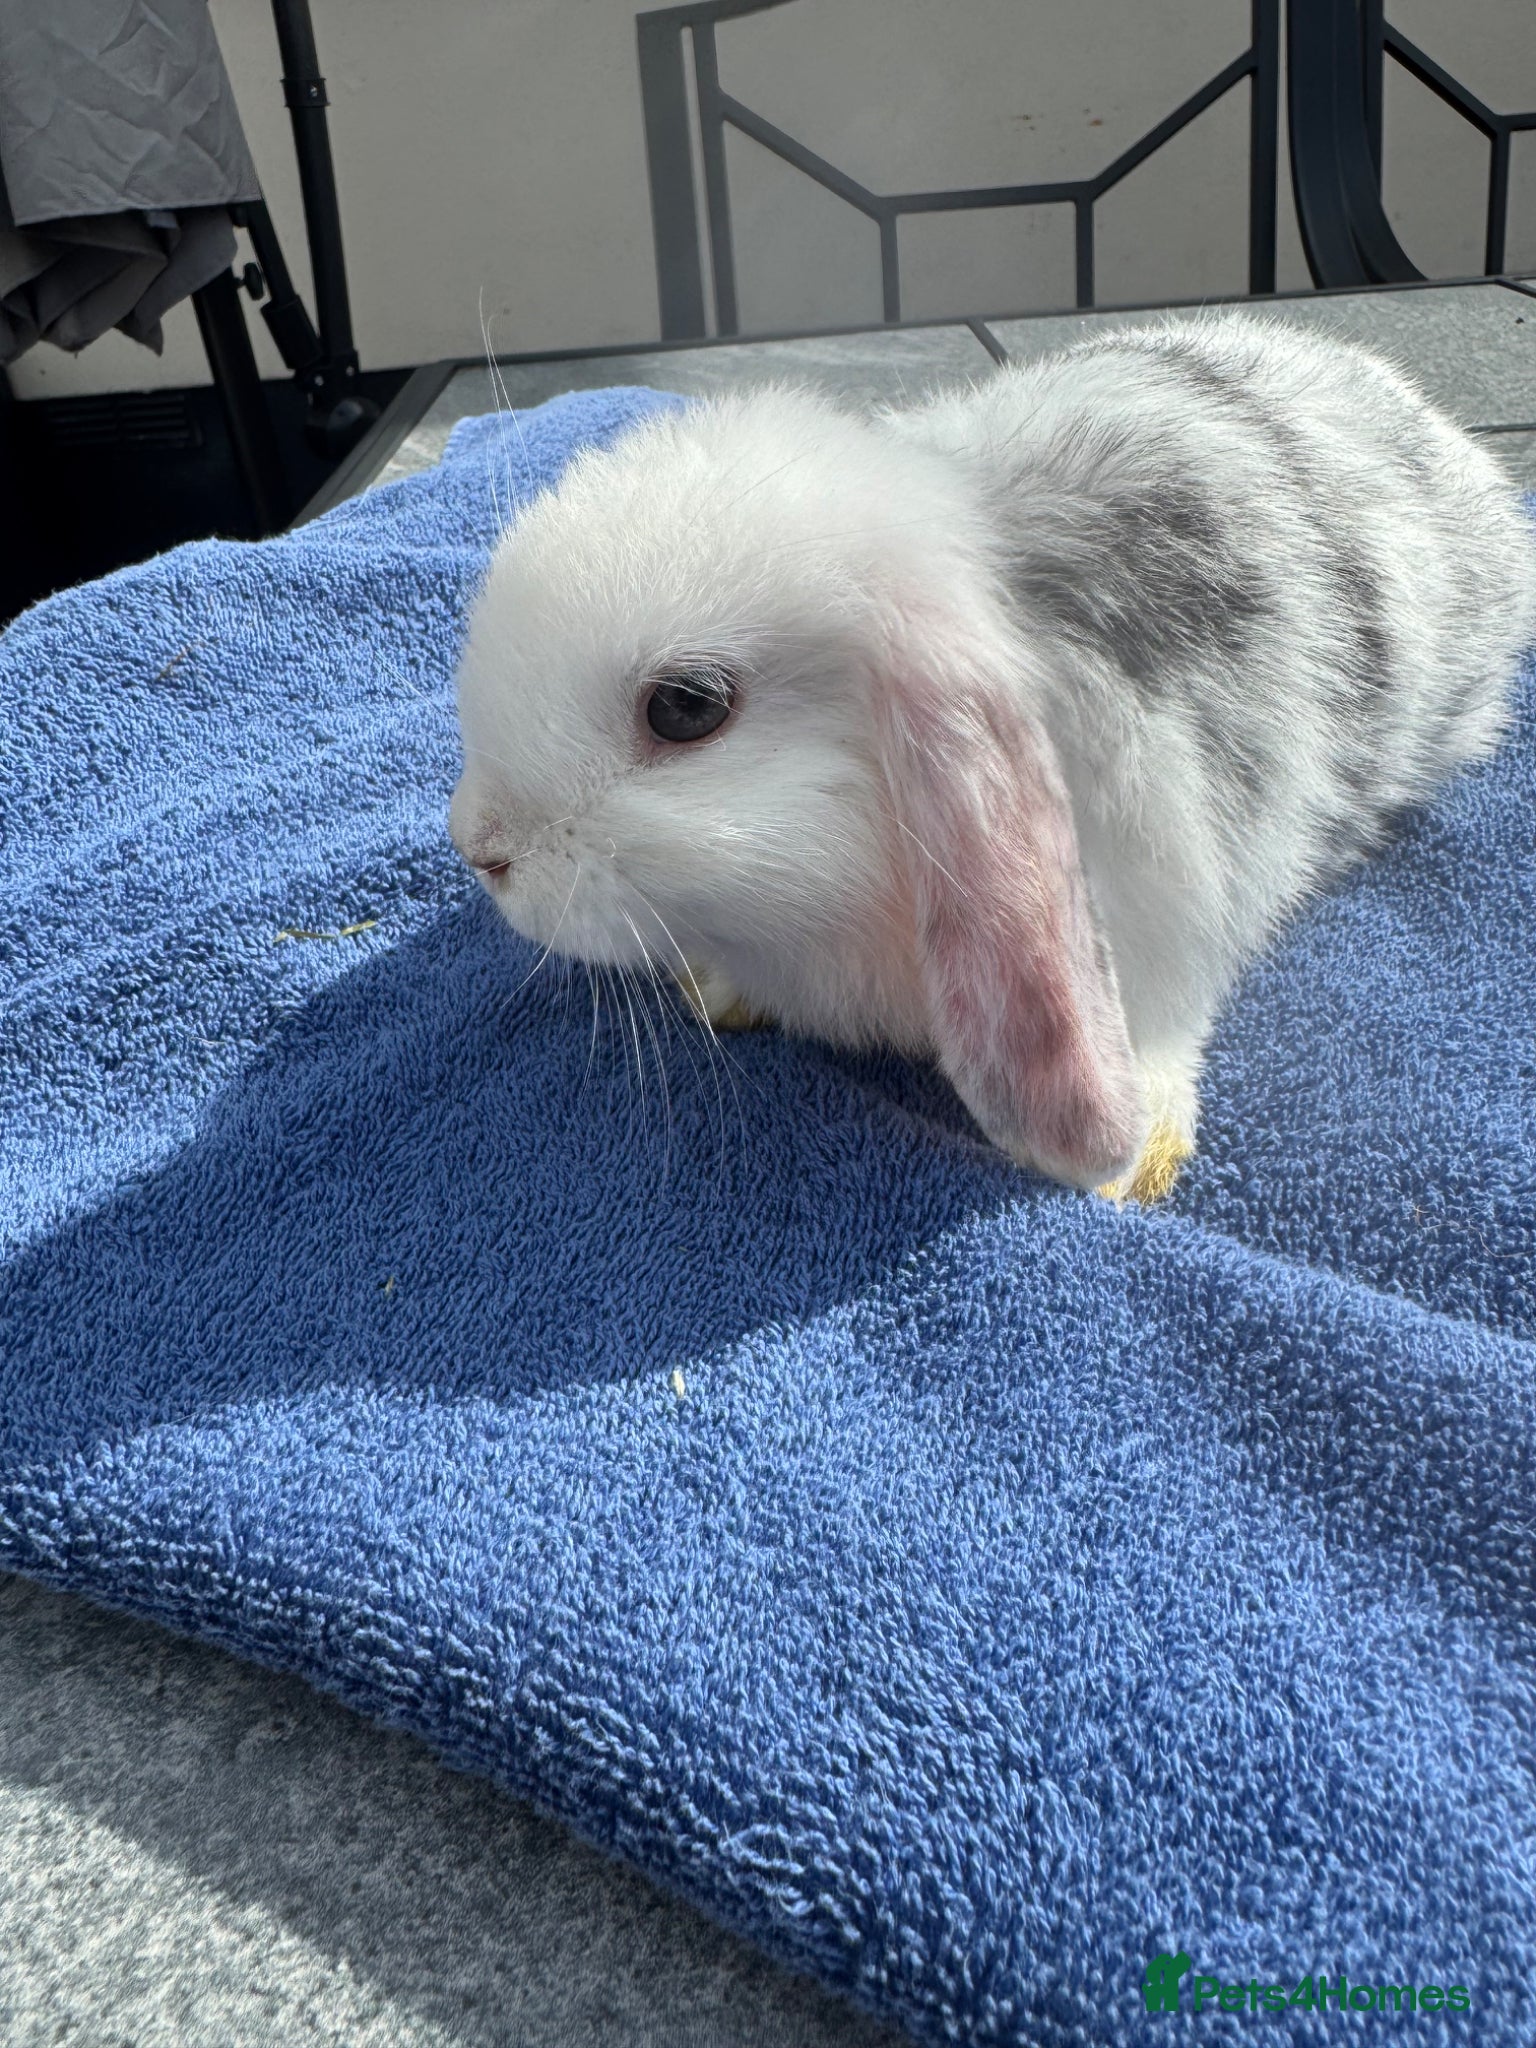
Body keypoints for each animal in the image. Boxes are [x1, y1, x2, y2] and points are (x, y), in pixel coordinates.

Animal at [449, 312, 1536, 1200]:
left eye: (686, 708)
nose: (478, 845)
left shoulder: (1178, 904)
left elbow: (1169, 1022)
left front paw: (1130, 1162)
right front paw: (719, 993)